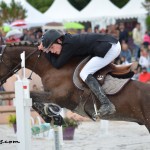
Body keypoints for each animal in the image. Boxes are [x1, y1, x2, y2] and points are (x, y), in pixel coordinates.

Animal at [0, 42, 150, 132]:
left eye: (0, 59)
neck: (52, 68)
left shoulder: (57, 97)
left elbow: (32, 96)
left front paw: (53, 118)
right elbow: (33, 99)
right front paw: (54, 118)